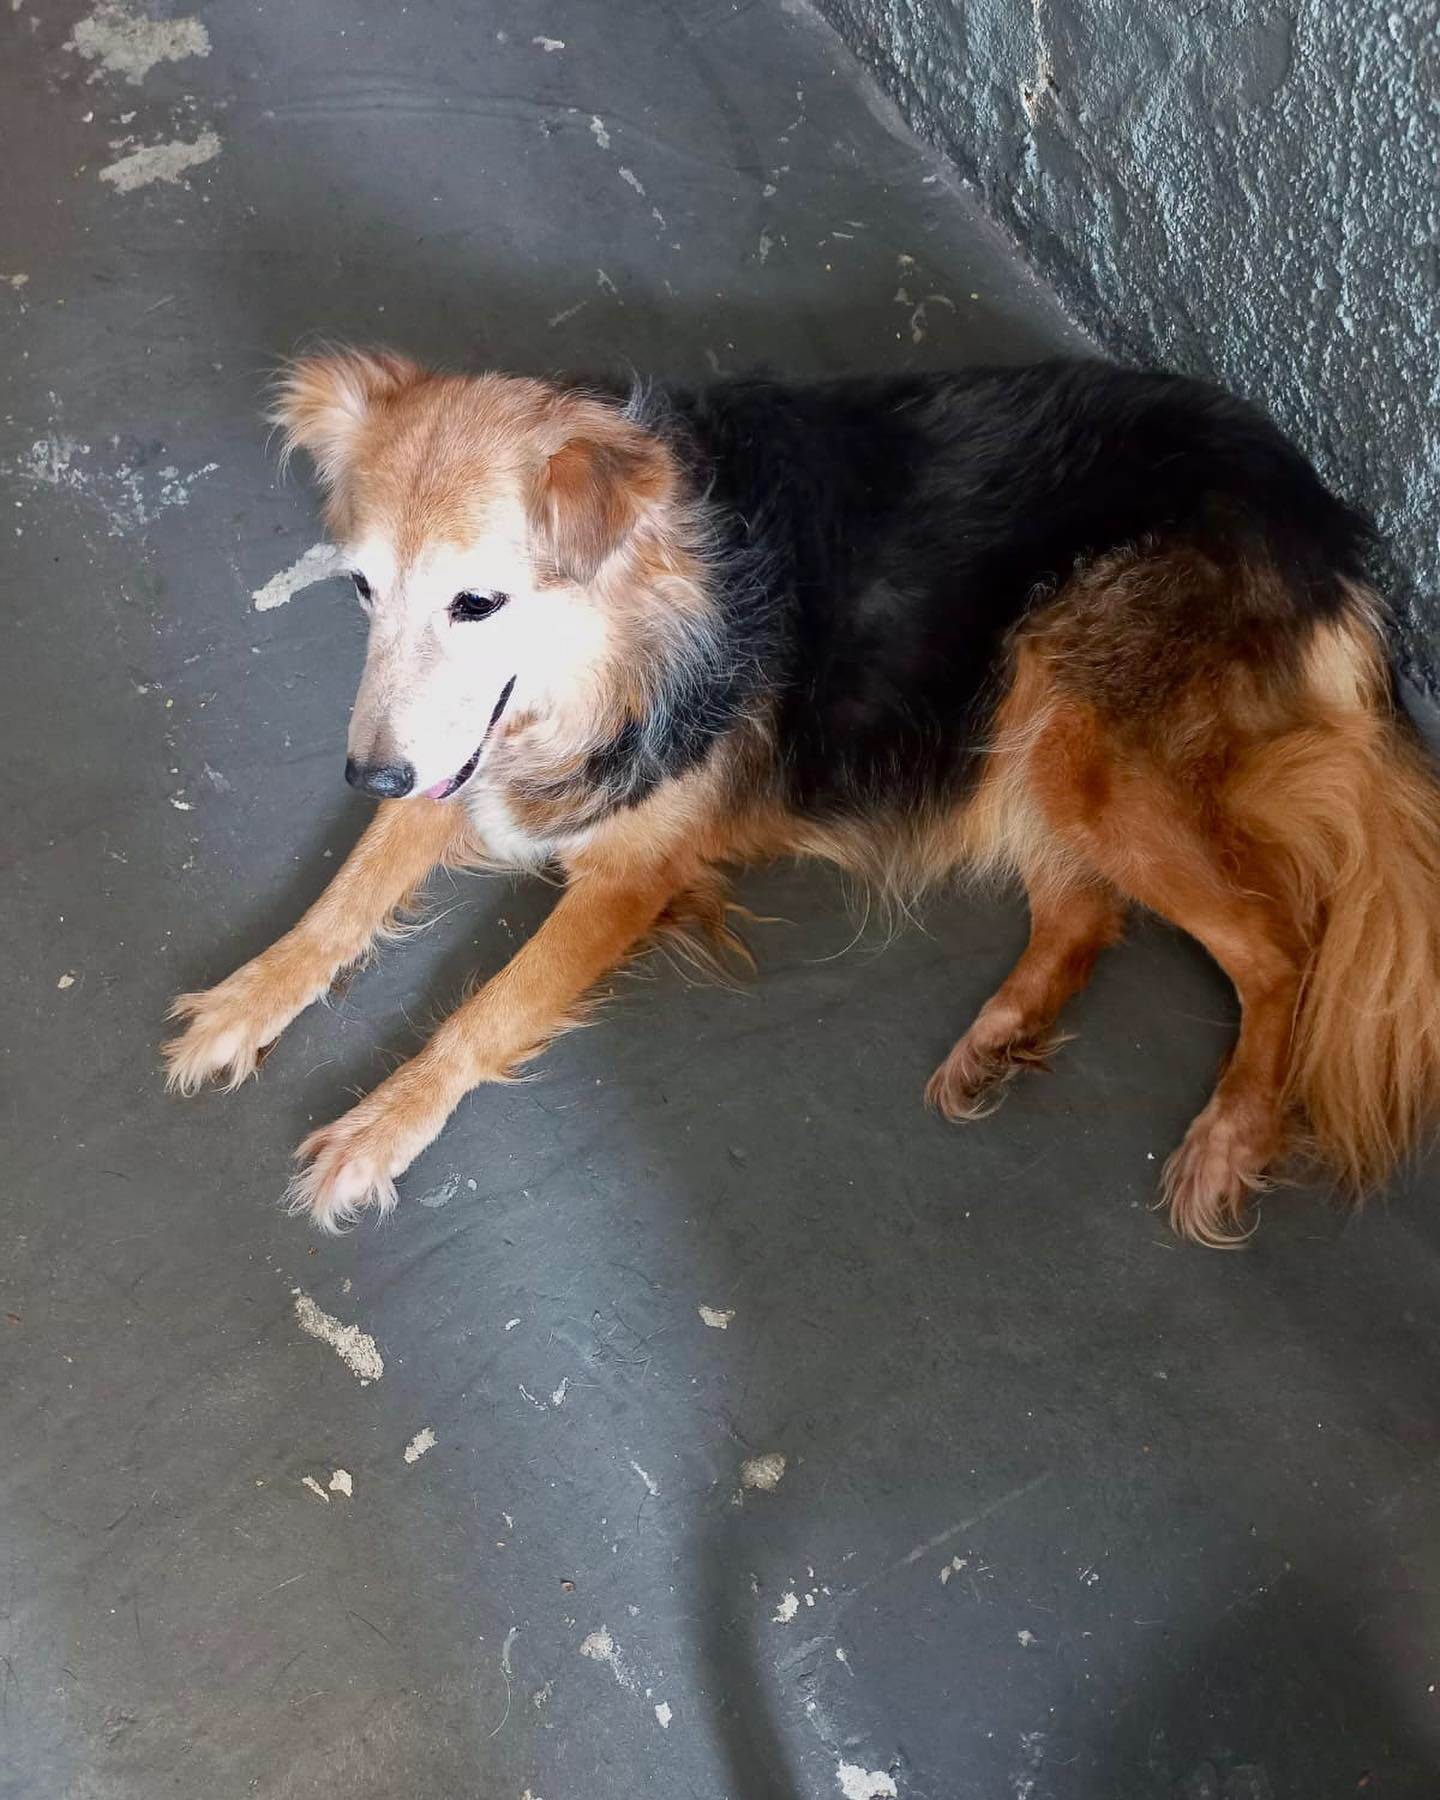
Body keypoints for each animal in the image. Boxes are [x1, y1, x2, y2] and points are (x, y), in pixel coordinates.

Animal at [163, 350, 1440, 1245]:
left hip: (1070, 720)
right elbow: (344, 896)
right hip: (1022, 733)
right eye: (363, 590)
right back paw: (1003, 1033)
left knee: (1280, 942)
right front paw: (246, 997)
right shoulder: (467, 756)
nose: (364, 773)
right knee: (1090, 910)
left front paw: (383, 1126)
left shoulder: (628, 869)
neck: (636, 628)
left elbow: (488, 1010)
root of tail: (1325, 521)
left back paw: (1232, 1129)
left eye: (477, 603)